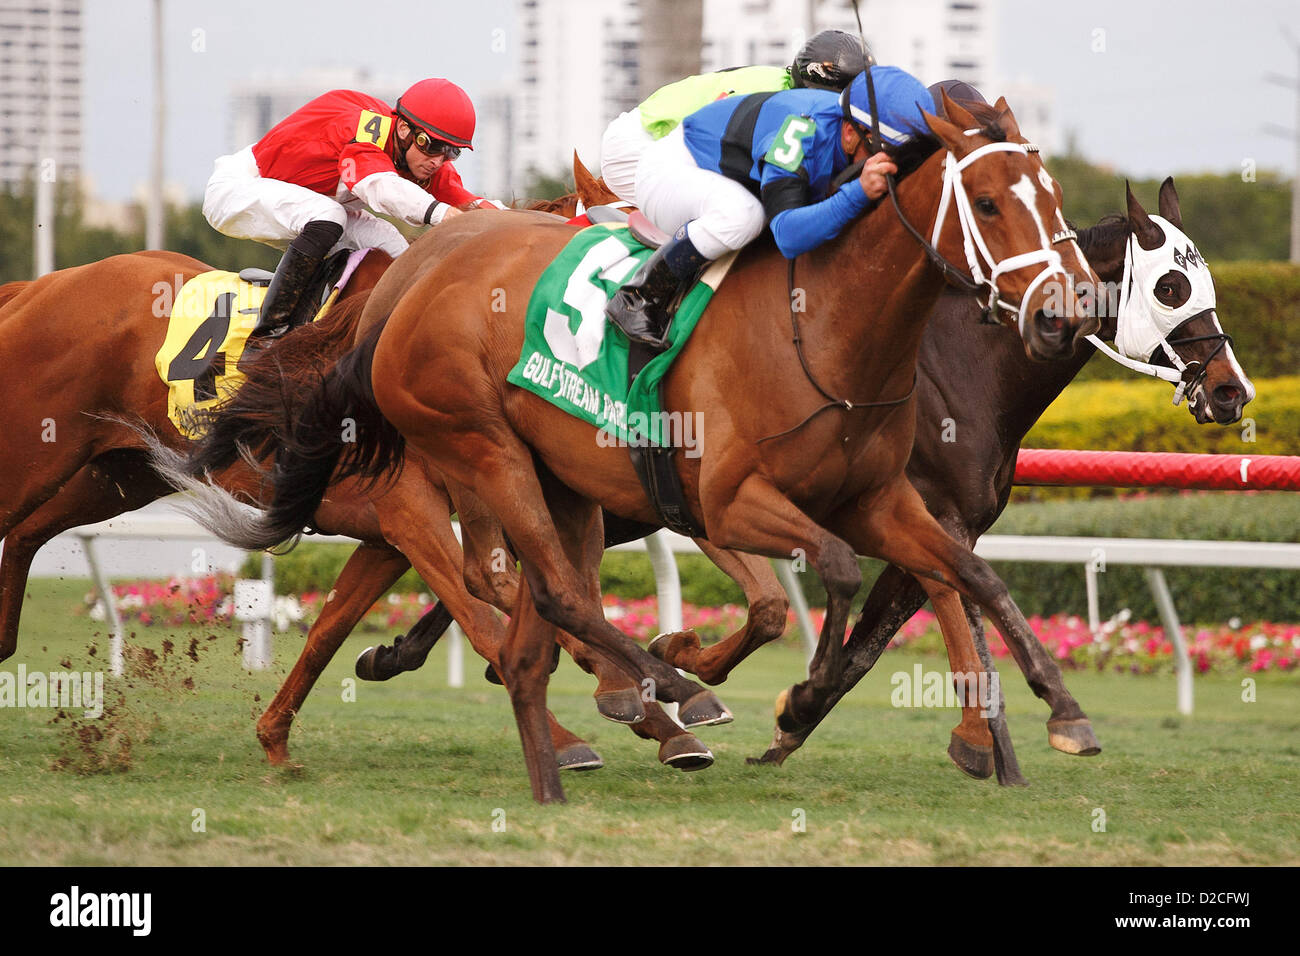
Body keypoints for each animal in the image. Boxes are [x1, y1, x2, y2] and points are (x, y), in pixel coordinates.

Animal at [167, 95, 1112, 806]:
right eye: (986, 203)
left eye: (1053, 195)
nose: (1062, 315)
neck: (823, 329)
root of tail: (409, 285)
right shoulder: (726, 502)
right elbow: (835, 575)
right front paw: (780, 691)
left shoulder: (879, 500)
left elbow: (970, 575)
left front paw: (1063, 710)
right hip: (478, 449)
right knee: (547, 592)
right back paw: (662, 696)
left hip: (545, 478)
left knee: (525, 601)